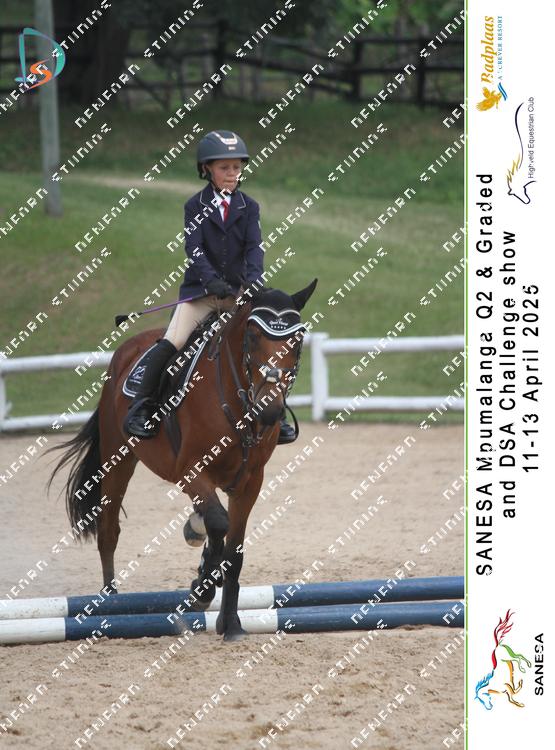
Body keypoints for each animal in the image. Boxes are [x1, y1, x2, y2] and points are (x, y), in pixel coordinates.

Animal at [47, 279, 317, 641]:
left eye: (297, 341)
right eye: (252, 337)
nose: (271, 412)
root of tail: (126, 351)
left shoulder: (250, 481)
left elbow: (233, 550)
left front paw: (230, 623)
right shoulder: (190, 470)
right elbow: (219, 523)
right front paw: (203, 590)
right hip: (118, 457)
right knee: (108, 530)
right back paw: (109, 603)